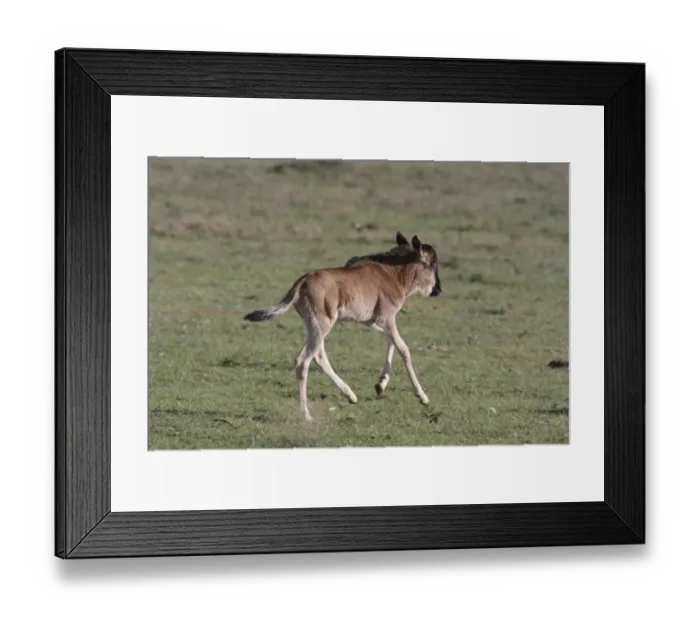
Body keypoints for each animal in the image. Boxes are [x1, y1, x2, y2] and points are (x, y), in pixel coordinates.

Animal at [243, 232, 442, 422]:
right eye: (432, 264)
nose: (438, 290)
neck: (392, 272)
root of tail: (304, 280)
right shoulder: (387, 319)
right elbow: (404, 349)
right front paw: (422, 397)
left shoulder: (372, 322)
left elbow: (390, 342)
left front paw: (381, 385)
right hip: (322, 325)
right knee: (303, 361)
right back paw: (306, 415)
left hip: (315, 327)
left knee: (319, 356)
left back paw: (350, 395)